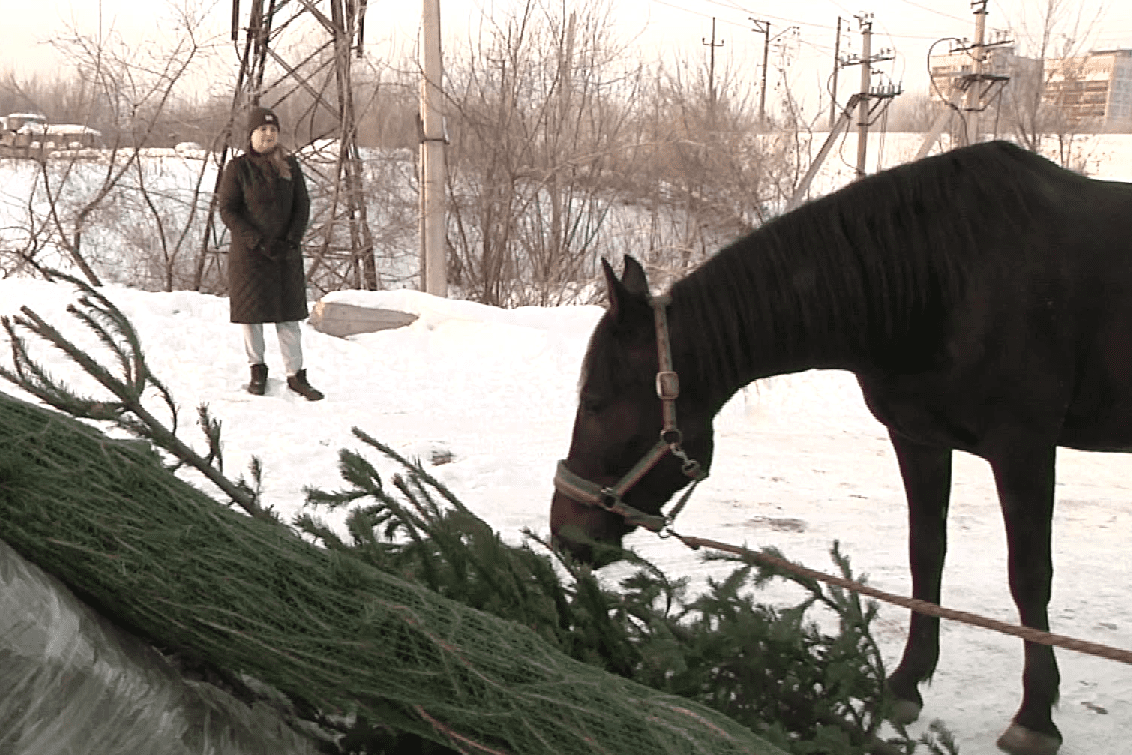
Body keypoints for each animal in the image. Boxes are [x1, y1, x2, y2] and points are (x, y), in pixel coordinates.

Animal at [547, 141, 1132, 755]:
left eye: (595, 402)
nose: (564, 536)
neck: (945, 276)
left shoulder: (1024, 447)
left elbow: (1030, 576)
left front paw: (1035, 716)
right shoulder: (918, 440)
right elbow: (926, 554)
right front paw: (903, 685)